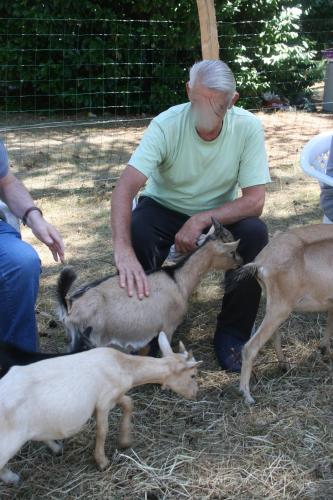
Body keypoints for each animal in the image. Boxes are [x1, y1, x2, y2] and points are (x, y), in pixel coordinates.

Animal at [0, 332, 200, 484]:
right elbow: (103, 430)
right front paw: (102, 461)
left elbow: (129, 403)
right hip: (8, 440)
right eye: (193, 375)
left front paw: (125, 440)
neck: (125, 366)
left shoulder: (115, 395)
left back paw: (54, 448)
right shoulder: (104, 401)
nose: (195, 394)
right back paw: (11, 477)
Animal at [56, 218, 239, 352]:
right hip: (93, 337)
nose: (241, 262)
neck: (178, 279)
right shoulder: (168, 326)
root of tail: (69, 307)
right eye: (232, 251)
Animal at [232, 225, 332, 404]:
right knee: (250, 347)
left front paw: (324, 350)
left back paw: (285, 366)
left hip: (275, 307)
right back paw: (247, 395)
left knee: (275, 336)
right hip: (281, 308)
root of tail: (260, 263)